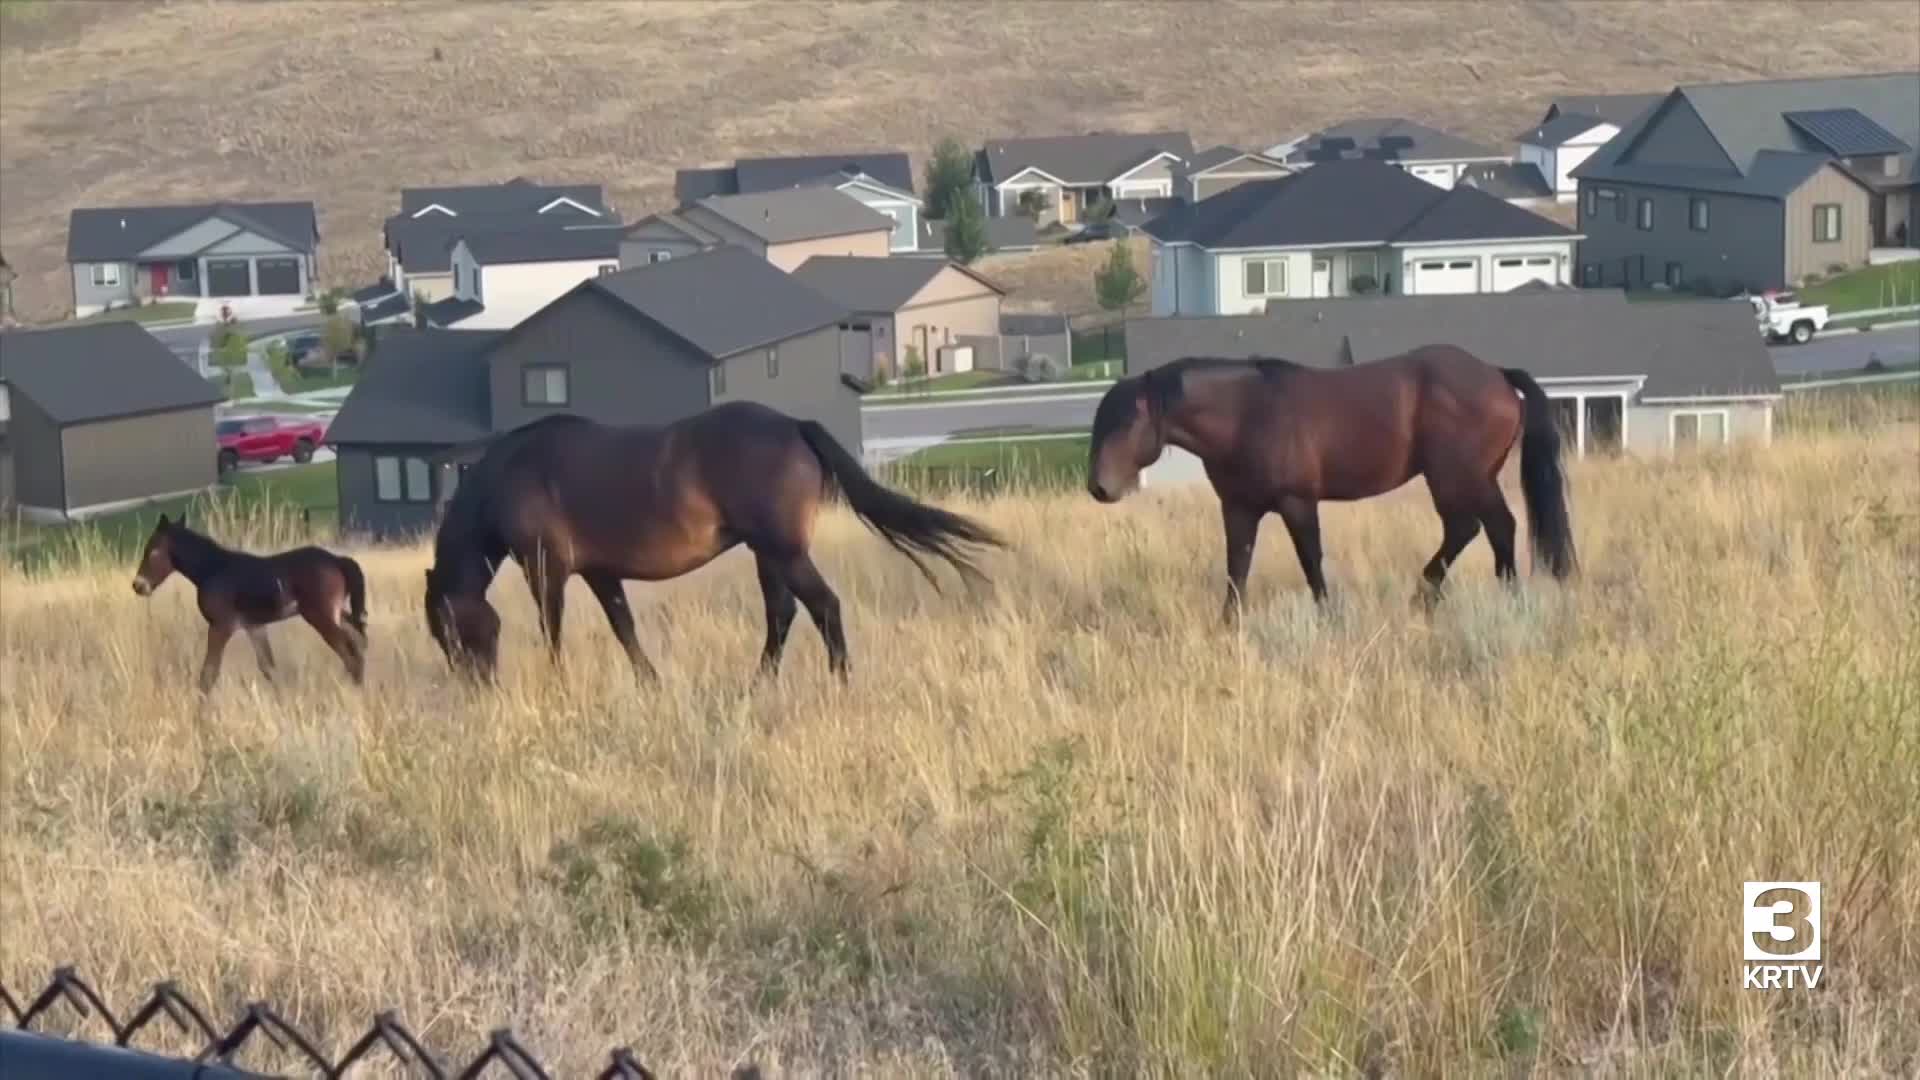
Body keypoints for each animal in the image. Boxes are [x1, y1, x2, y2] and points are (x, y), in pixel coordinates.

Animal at [131, 512, 369, 691]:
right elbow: (268, 668)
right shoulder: (254, 626)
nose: (138, 585)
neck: (214, 569)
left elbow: (208, 674)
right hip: (336, 612)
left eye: (152, 551)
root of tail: (337, 560)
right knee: (357, 643)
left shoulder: (221, 626)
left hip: (320, 615)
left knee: (350, 653)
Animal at [422, 402, 1006, 682]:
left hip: (783, 550)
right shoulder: (600, 571)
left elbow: (553, 630)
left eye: (447, 630)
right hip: (767, 553)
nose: (476, 685)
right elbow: (624, 629)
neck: (510, 474)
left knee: (823, 607)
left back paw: (839, 680)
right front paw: (650, 684)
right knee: (782, 615)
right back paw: (757, 684)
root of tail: (794, 425)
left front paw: (560, 683)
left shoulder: (545, 566)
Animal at [1086, 346, 1577, 619]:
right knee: (1478, 529)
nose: (1099, 488)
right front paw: (1228, 624)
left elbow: (1311, 562)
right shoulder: (1239, 508)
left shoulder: (1297, 502)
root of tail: (1496, 375)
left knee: (1488, 527)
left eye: (1128, 421)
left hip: (1457, 477)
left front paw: (1328, 615)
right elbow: (1237, 567)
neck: (1247, 413)